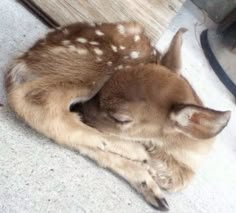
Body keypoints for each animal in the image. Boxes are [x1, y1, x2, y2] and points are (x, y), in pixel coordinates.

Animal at [5, 22, 230, 211]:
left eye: (121, 119)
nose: (81, 108)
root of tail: (27, 56)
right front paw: (147, 158)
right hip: (95, 65)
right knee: (36, 102)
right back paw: (136, 152)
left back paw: (148, 185)